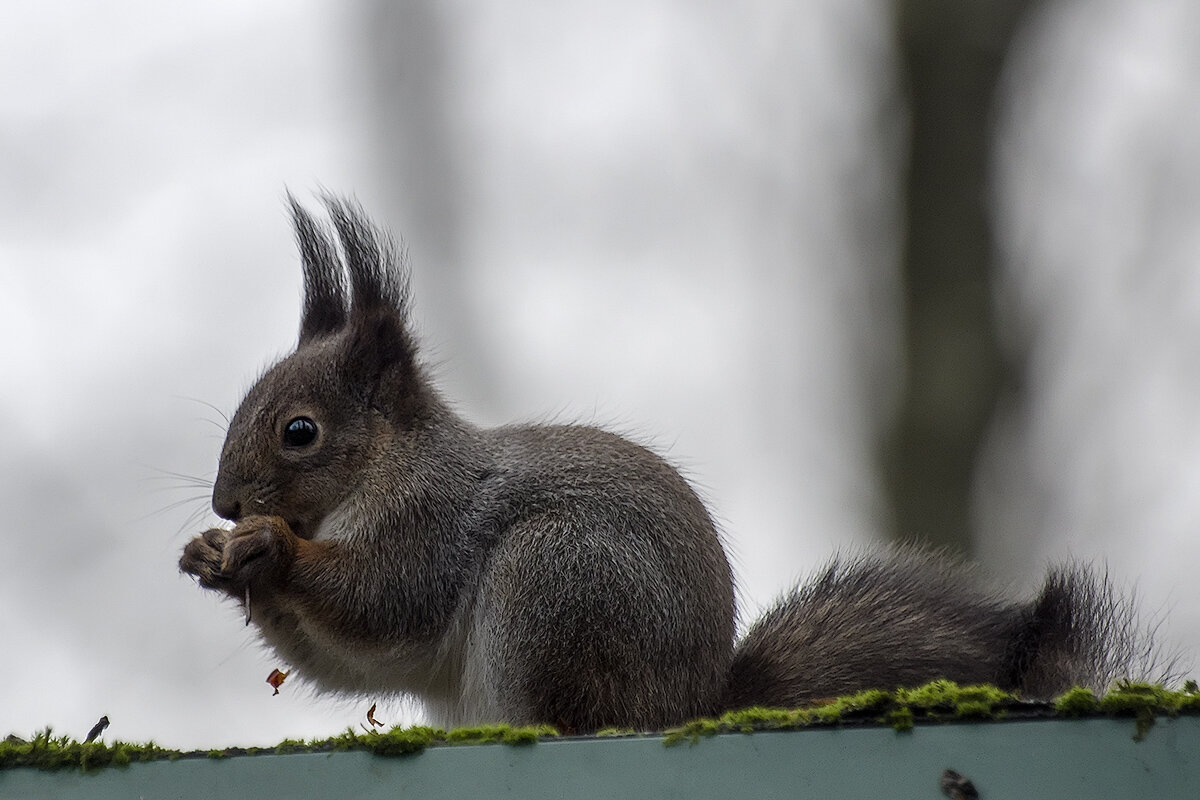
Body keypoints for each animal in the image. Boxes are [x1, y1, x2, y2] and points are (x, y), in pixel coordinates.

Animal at [177, 194, 1161, 734]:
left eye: (299, 431)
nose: (226, 503)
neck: (386, 468)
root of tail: (684, 708)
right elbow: (347, 661)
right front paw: (213, 561)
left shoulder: (435, 521)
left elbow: (382, 599)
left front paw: (271, 550)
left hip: (554, 583)